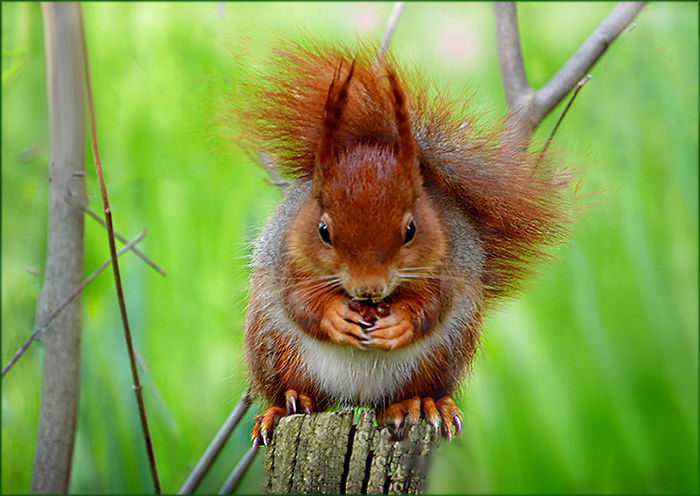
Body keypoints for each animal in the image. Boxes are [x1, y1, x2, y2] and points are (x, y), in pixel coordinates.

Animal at [233, 38, 570, 446]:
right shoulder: (286, 255)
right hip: (272, 345)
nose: (369, 290)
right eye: (323, 230)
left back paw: (421, 405)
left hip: (442, 355)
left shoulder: (448, 262)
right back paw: (287, 405)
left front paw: (402, 323)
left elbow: (434, 305)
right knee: (293, 387)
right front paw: (334, 316)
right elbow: (300, 301)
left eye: (411, 229)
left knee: (403, 397)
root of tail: (356, 399)